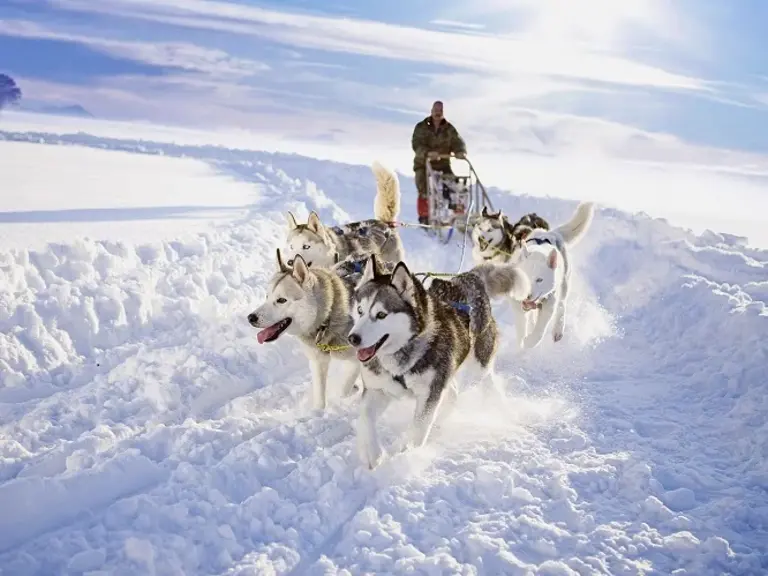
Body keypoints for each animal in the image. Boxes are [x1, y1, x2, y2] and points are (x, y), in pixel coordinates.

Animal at [248, 250, 364, 412]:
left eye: (281, 300)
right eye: (267, 296)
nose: (251, 318)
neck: (326, 317)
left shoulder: (357, 359)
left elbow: (343, 391)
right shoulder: (318, 361)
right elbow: (320, 397)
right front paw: (318, 412)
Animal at [344, 254, 500, 470]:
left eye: (381, 314)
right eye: (360, 310)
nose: (353, 338)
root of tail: (467, 278)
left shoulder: (428, 395)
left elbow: (417, 429)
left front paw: (402, 453)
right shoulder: (378, 389)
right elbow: (366, 419)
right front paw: (372, 454)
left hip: (477, 366)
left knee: (486, 376)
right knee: (452, 393)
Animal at [516, 200, 592, 348]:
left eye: (539, 280)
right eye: (525, 277)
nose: (527, 296)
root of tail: (552, 233)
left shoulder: (549, 303)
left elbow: (539, 331)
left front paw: (529, 341)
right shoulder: (516, 300)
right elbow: (521, 324)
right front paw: (522, 338)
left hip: (564, 284)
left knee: (561, 306)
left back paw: (558, 330)